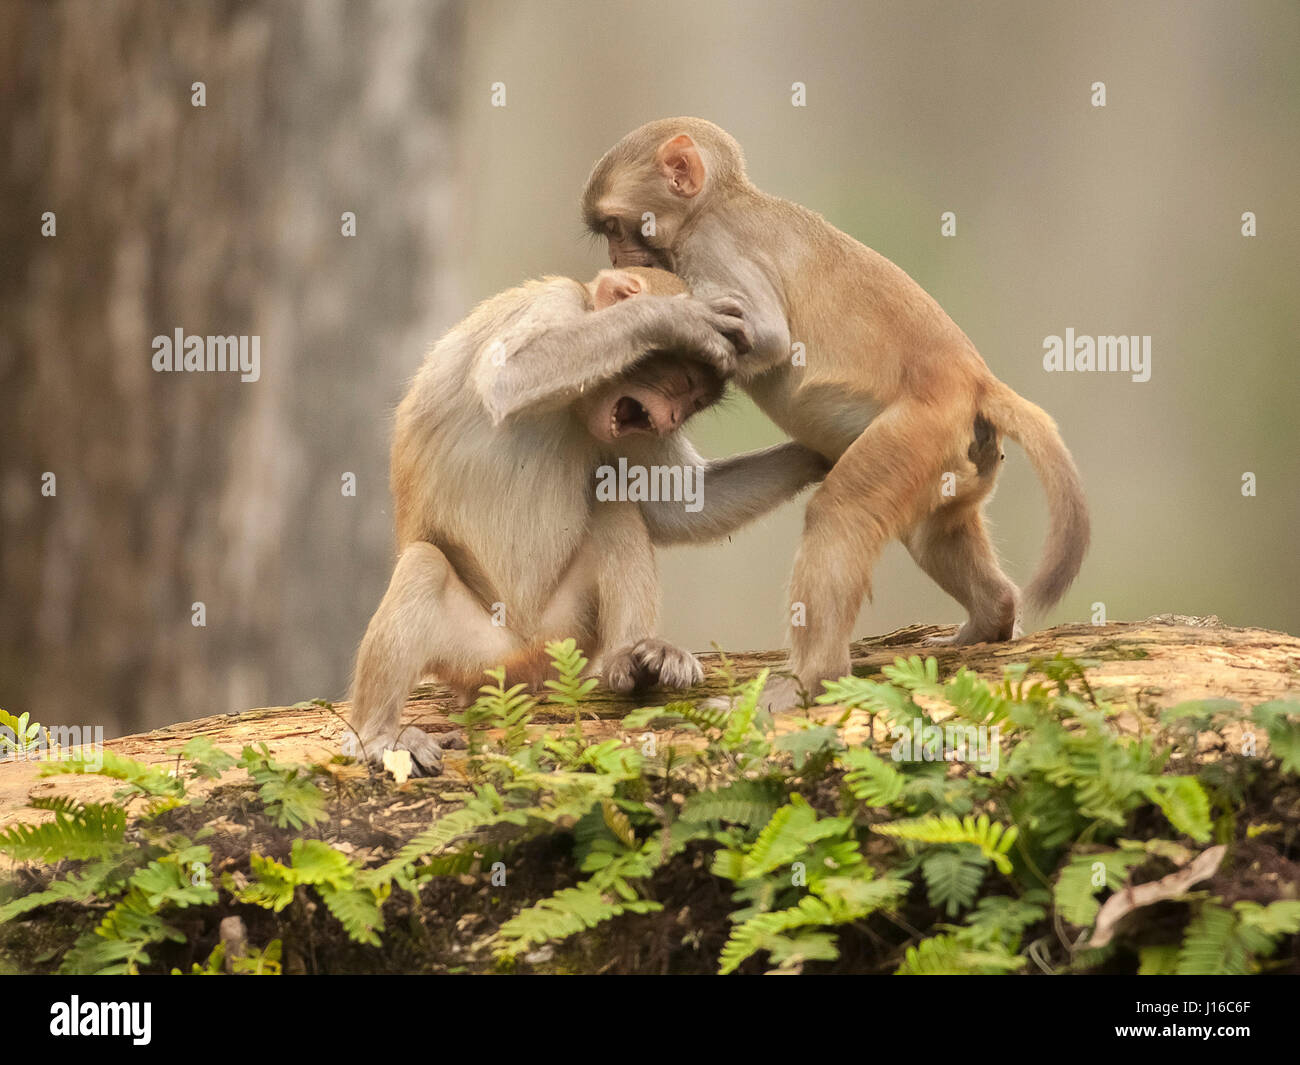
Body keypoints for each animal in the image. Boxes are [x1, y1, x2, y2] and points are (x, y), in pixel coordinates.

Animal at [342, 265, 829, 770]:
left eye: (695, 402)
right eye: (681, 382)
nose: (673, 419)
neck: (575, 400)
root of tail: (526, 658)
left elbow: (679, 506)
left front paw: (815, 456)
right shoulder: (555, 302)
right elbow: (506, 379)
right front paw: (670, 318)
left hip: (566, 632)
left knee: (614, 508)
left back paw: (631, 657)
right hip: (477, 655)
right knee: (424, 565)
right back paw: (378, 736)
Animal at [581, 118, 1090, 708]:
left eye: (616, 227)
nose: (616, 260)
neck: (720, 203)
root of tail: (973, 380)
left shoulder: (714, 247)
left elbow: (769, 338)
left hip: (914, 432)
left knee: (841, 515)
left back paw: (808, 679)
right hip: (957, 458)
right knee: (934, 534)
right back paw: (990, 618)